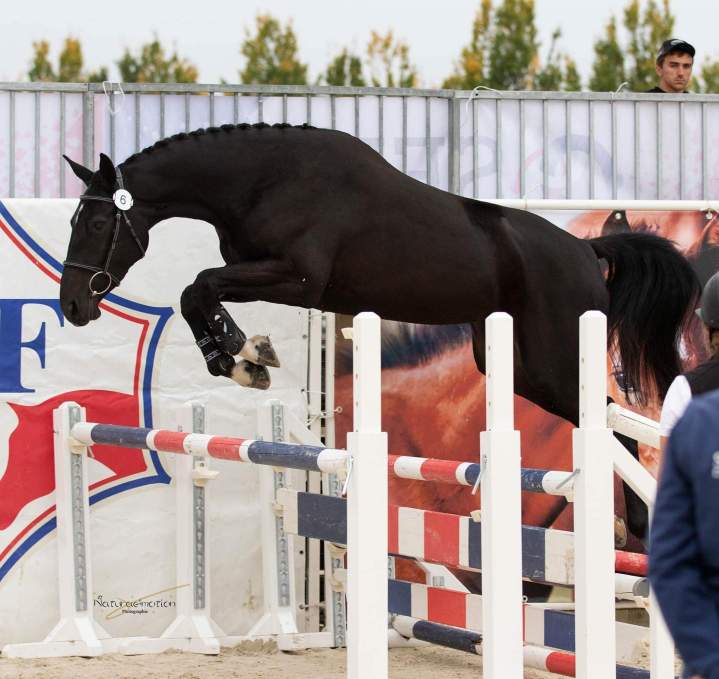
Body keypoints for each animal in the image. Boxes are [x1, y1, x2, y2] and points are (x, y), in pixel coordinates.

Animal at [59, 122, 700, 535]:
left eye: (95, 222)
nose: (73, 306)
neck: (262, 180)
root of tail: (586, 251)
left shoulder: (297, 278)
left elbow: (199, 286)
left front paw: (244, 355)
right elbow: (198, 291)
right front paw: (239, 359)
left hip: (552, 359)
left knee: (614, 424)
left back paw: (638, 527)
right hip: (517, 365)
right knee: (611, 420)